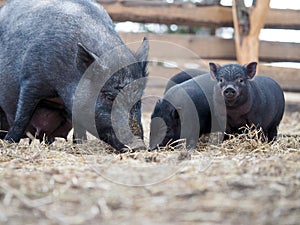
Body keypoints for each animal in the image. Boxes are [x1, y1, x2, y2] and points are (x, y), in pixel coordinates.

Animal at [0, 0, 149, 151]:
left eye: (139, 100)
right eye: (109, 97)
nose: (139, 146)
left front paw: (79, 145)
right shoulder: (31, 79)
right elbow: (22, 117)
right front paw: (9, 142)